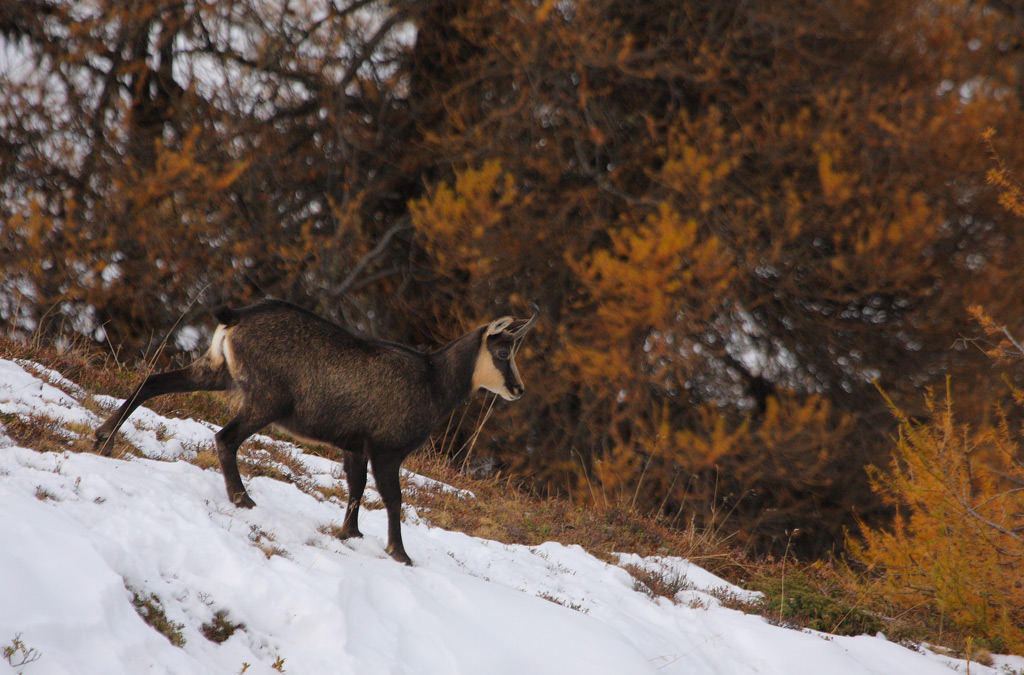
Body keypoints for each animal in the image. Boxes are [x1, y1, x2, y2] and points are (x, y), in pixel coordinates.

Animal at [93, 299, 538, 564]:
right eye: (503, 352)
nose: (518, 389)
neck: (434, 382)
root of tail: (235, 318)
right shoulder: (387, 448)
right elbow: (393, 499)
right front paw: (400, 553)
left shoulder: (355, 445)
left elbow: (355, 488)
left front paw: (350, 533)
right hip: (267, 398)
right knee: (225, 437)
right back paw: (242, 498)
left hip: (217, 371)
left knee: (154, 381)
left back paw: (104, 438)